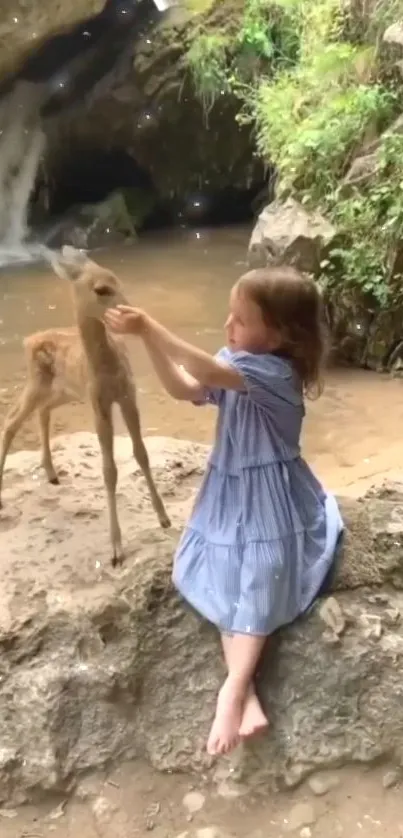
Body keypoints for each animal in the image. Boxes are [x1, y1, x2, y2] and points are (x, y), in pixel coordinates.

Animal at [0, 246, 170, 568]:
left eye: (118, 279)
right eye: (101, 289)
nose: (133, 312)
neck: (107, 369)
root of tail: (29, 340)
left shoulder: (127, 396)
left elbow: (141, 454)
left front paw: (164, 518)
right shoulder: (98, 404)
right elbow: (109, 469)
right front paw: (116, 549)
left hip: (63, 391)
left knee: (41, 412)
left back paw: (52, 474)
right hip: (39, 383)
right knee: (11, 421)